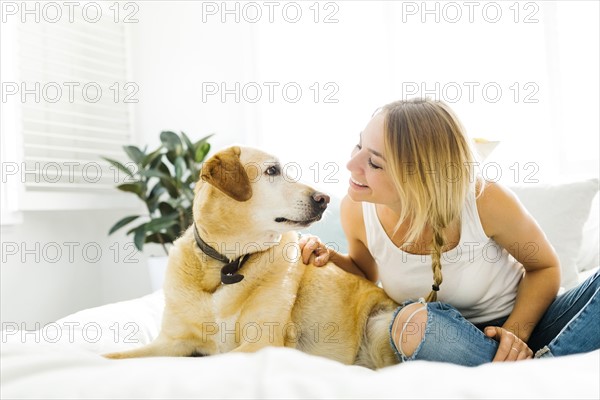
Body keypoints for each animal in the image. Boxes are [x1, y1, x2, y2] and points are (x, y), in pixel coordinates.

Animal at [105, 145, 400, 368]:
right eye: (272, 170)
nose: (324, 199)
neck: (226, 263)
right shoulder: (170, 341)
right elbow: (113, 357)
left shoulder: (260, 342)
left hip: (378, 323)